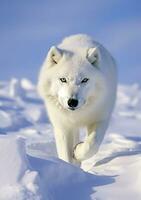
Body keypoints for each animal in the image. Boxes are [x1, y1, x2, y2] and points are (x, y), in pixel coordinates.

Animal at [37, 34, 117, 166]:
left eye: (84, 80)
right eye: (63, 79)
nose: (72, 102)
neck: (78, 116)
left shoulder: (101, 119)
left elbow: (91, 145)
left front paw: (78, 152)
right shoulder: (62, 126)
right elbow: (65, 155)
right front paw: (70, 167)